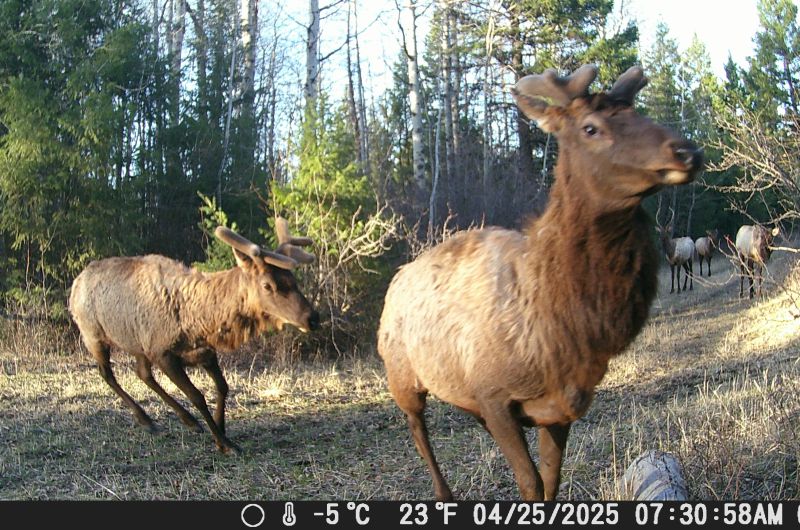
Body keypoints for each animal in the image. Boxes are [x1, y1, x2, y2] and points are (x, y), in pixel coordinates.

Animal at [68, 218, 318, 454]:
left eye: (293, 279)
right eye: (267, 285)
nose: (312, 318)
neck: (199, 322)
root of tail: (76, 281)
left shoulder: (204, 351)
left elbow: (223, 387)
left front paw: (220, 429)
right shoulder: (163, 352)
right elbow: (197, 396)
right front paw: (225, 443)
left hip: (139, 344)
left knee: (142, 373)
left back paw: (186, 420)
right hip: (93, 334)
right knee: (107, 373)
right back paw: (146, 419)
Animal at [377, 64, 702, 501]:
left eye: (638, 112)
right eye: (591, 127)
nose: (687, 152)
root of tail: (396, 280)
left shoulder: (561, 406)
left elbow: (550, 479)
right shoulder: (494, 396)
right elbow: (529, 481)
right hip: (402, 378)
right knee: (418, 432)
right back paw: (443, 493)